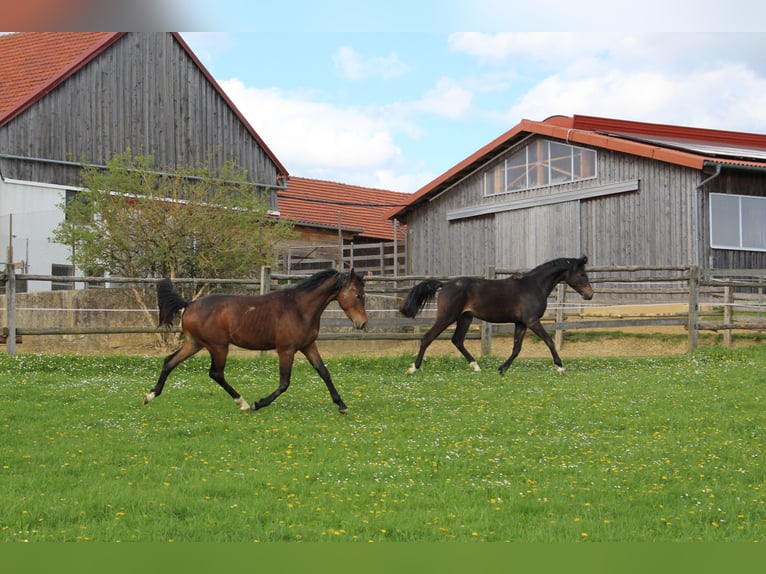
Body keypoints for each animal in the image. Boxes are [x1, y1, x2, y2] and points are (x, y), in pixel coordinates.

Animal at [143, 268, 368, 414]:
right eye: (358, 295)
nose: (363, 323)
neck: (299, 308)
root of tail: (189, 304)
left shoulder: (308, 346)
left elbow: (324, 373)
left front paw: (342, 405)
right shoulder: (286, 350)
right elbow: (284, 383)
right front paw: (258, 404)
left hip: (194, 343)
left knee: (169, 362)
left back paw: (150, 395)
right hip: (218, 346)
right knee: (216, 373)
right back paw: (242, 403)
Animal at [399, 256, 593, 376]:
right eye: (582, 274)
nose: (590, 295)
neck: (534, 286)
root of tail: (444, 285)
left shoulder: (521, 323)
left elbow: (516, 348)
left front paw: (502, 369)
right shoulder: (532, 321)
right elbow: (549, 341)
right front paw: (560, 368)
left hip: (465, 318)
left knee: (457, 340)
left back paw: (476, 367)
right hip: (447, 317)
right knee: (427, 338)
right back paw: (413, 369)